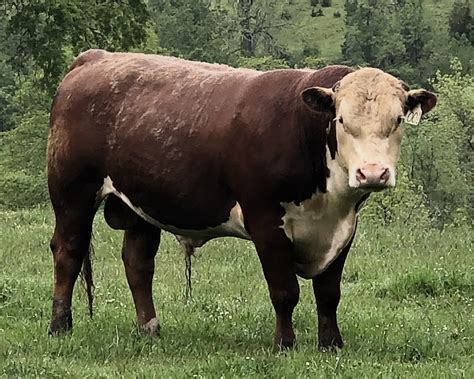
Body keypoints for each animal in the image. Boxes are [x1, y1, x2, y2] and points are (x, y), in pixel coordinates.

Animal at [46, 49, 436, 350]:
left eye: (398, 119)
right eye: (341, 119)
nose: (372, 173)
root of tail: (96, 57)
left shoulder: (343, 228)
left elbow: (328, 293)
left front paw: (331, 345)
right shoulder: (265, 221)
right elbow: (285, 291)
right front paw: (285, 344)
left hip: (142, 204)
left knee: (138, 263)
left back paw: (150, 329)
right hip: (72, 192)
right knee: (68, 251)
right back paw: (60, 325)